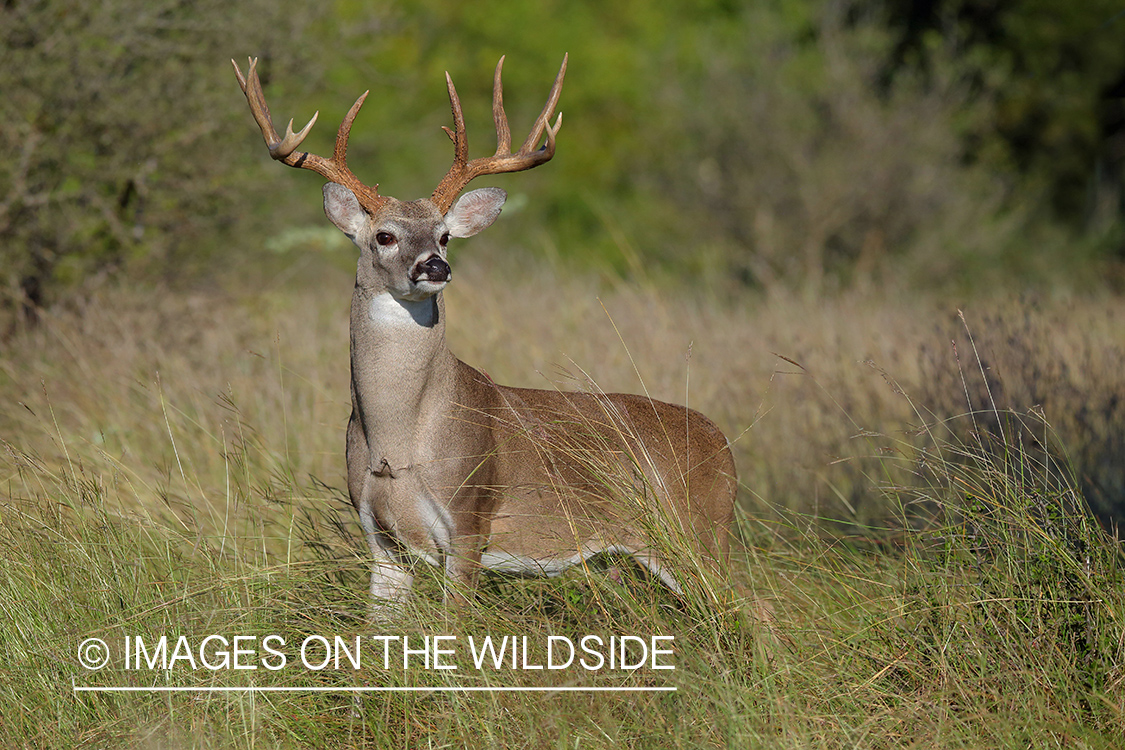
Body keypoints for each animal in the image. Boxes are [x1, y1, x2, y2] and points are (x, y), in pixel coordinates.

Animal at [232, 55, 737, 613]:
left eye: (445, 236)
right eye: (384, 235)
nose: (435, 266)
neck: (398, 444)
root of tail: (724, 447)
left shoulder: (469, 520)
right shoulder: (378, 535)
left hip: (699, 532)